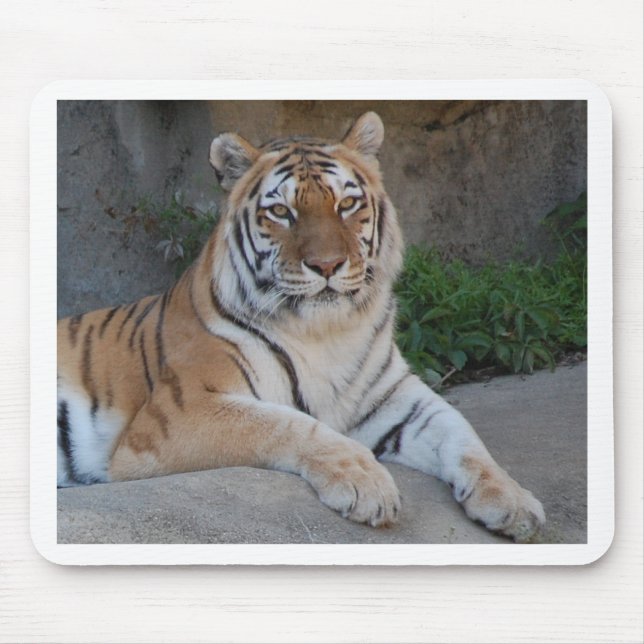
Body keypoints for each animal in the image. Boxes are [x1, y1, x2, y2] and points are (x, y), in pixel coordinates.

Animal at [57, 111, 545, 541]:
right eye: (281, 212)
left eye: (346, 204)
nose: (327, 265)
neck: (326, 333)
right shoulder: (178, 414)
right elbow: (287, 424)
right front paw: (367, 484)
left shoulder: (396, 397)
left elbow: (463, 435)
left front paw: (514, 501)